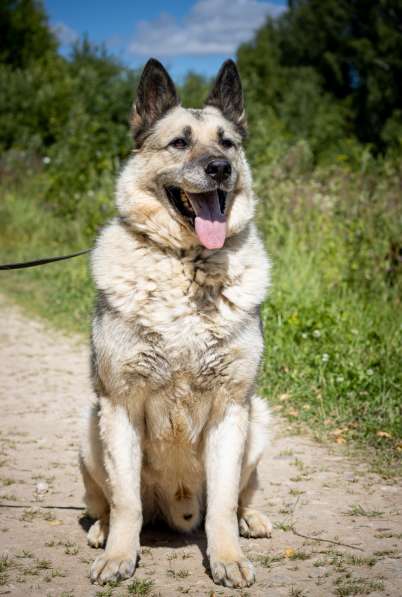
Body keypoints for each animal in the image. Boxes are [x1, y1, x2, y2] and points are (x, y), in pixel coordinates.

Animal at [79, 58, 272, 588]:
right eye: (180, 143)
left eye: (227, 143)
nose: (220, 169)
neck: (188, 265)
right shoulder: (120, 405)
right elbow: (126, 501)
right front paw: (119, 556)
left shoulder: (231, 410)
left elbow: (223, 503)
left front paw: (227, 558)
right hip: (89, 429)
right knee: (106, 500)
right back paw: (102, 530)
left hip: (259, 418)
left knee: (242, 493)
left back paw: (252, 518)